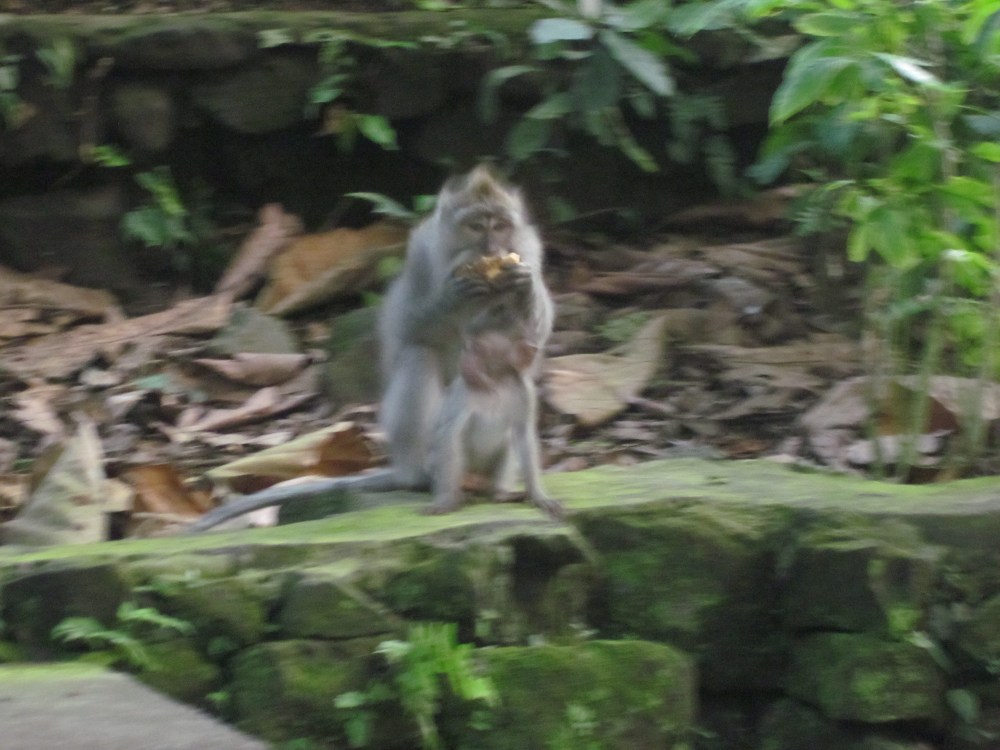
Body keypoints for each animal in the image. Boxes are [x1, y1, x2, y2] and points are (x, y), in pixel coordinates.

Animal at [185, 166, 559, 532]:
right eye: (477, 225)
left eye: (500, 225)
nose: (492, 245)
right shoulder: (422, 253)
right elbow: (407, 329)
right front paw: (454, 294)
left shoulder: (530, 248)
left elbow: (534, 335)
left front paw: (523, 286)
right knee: (418, 357)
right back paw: (421, 477)